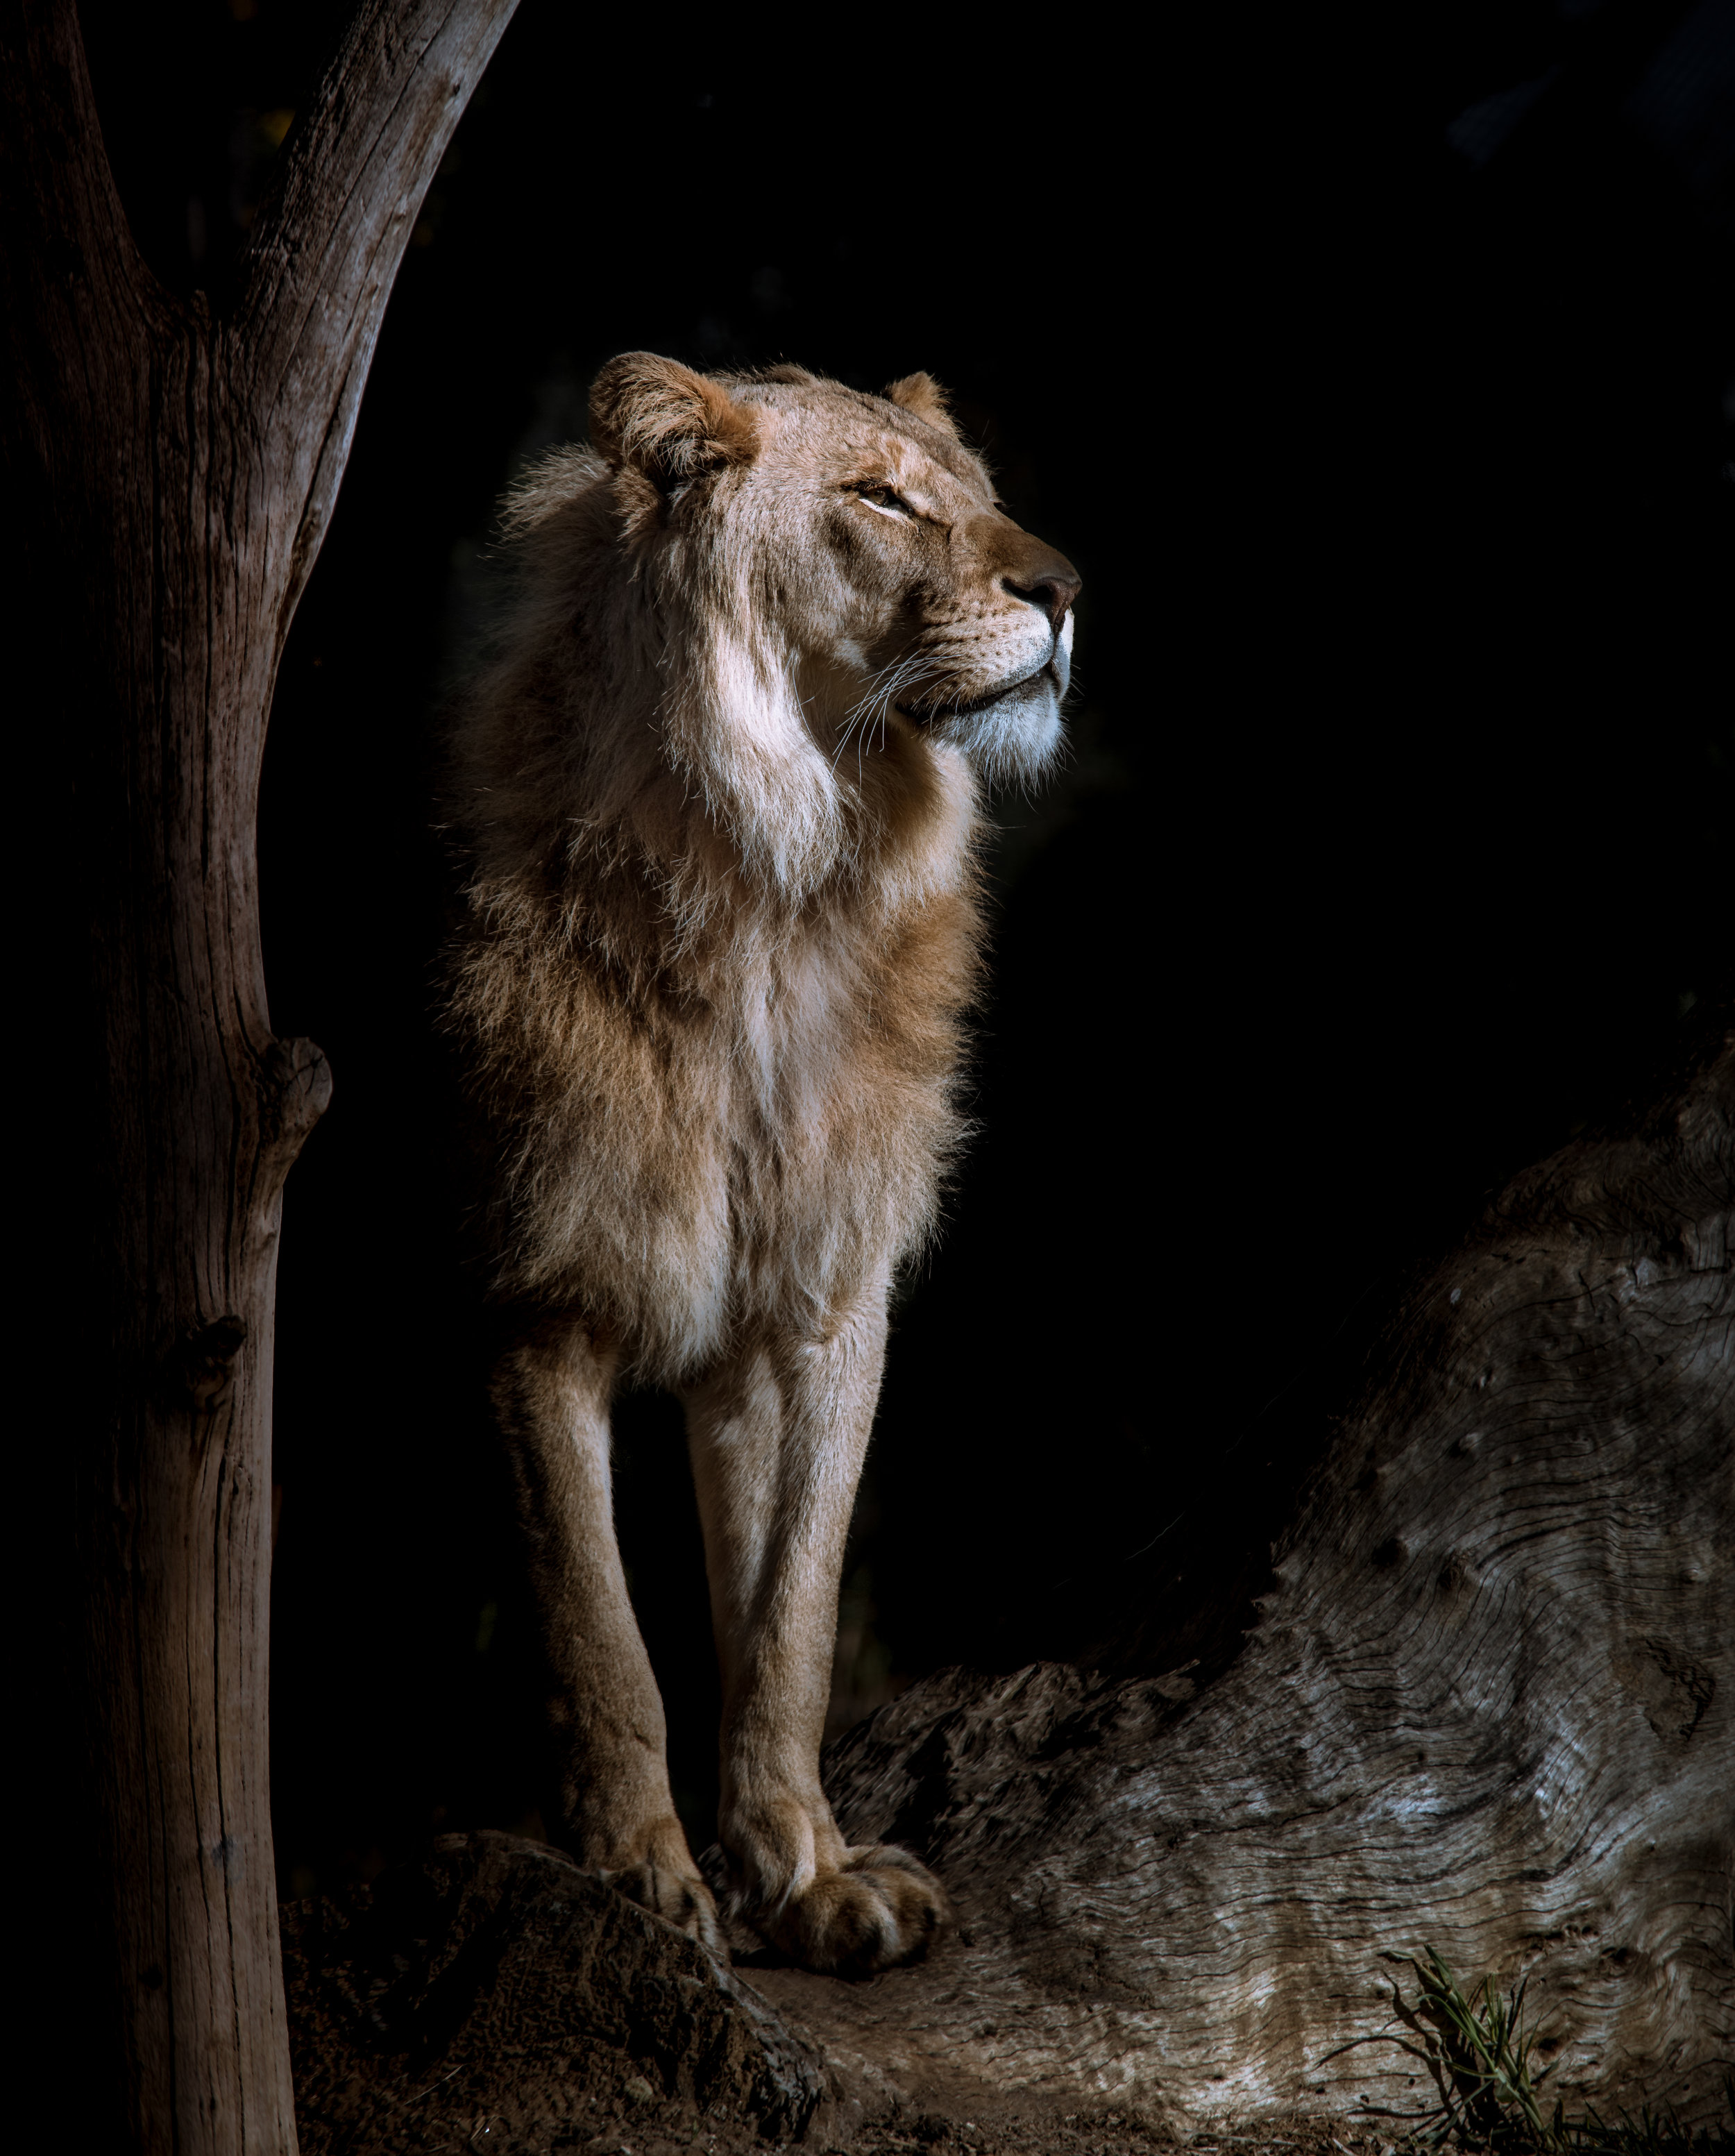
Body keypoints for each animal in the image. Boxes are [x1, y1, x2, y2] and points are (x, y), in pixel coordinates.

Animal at [444, 352, 1079, 1975]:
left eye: (977, 492)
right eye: (879, 498)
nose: (1064, 588)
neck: (787, 879)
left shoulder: (818, 1304)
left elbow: (788, 1617)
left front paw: (808, 1875)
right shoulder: (535, 1295)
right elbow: (600, 1633)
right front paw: (639, 1881)